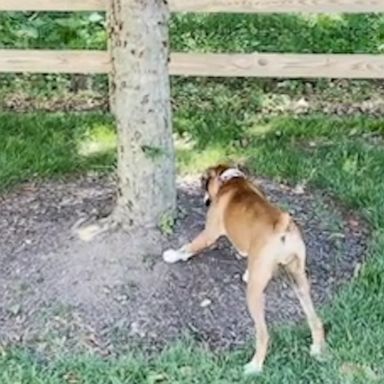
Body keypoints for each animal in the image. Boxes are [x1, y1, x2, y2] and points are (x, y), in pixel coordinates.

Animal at [161, 164, 324, 374]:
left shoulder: (209, 233)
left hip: (255, 294)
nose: (205, 200)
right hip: (299, 280)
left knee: (263, 334)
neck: (231, 181)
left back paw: (254, 367)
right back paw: (317, 350)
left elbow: (189, 247)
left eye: (203, 182)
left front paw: (173, 255)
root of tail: (282, 226)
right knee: (316, 320)